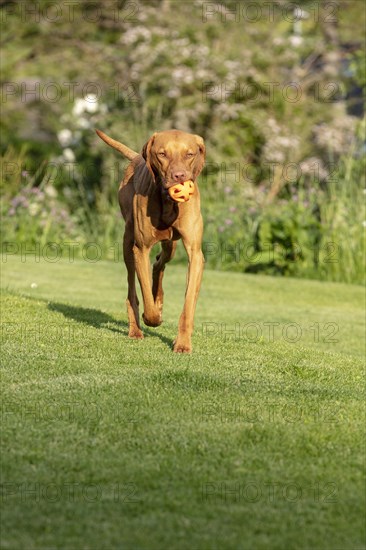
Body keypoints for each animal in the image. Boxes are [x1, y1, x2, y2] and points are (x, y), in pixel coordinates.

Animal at [96, 128, 206, 354]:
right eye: (162, 154)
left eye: (189, 154)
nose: (179, 176)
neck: (168, 202)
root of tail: (137, 158)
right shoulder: (141, 249)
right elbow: (146, 297)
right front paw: (153, 317)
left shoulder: (195, 254)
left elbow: (188, 303)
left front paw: (183, 344)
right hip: (128, 244)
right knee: (132, 290)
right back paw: (136, 329)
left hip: (171, 244)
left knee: (159, 263)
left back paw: (160, 298)